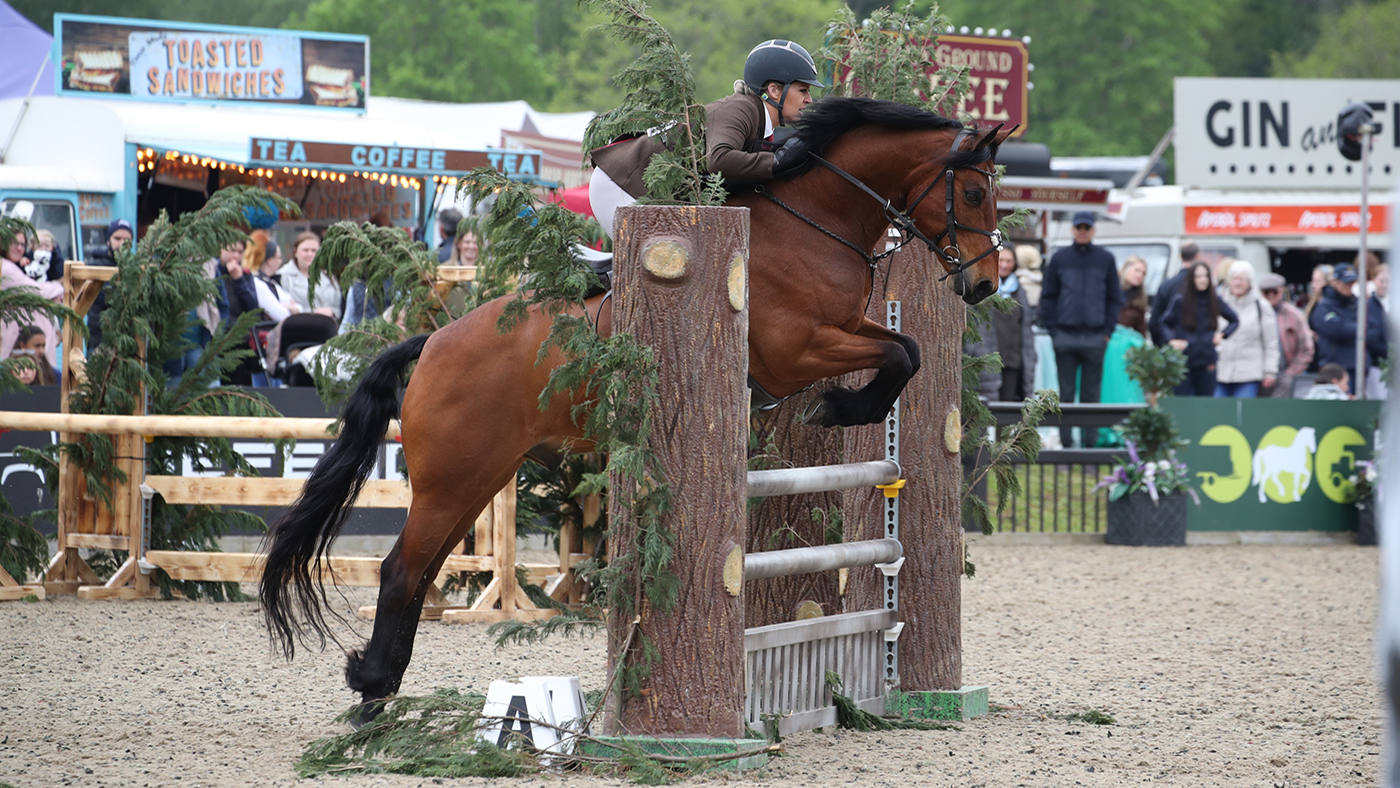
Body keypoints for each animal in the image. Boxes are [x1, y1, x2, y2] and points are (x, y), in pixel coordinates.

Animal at [259, 97, 1015, 723]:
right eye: (976, 191)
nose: (982, 285)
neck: (818, 221)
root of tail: (434, 341)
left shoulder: (846, 327)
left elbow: (907, 348)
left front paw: (846, 405)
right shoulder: (795, 351)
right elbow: (899, 358)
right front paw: (837, 407)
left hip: (479, 477)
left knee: (420, 572)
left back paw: (379, 687)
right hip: (453, 477)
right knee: (400, 571)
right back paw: (370, 697)